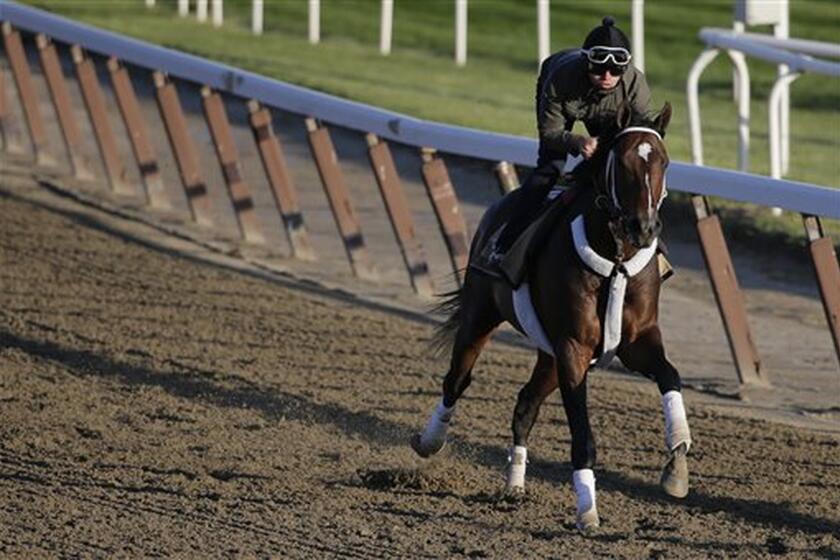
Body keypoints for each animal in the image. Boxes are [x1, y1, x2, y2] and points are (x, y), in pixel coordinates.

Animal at [410, 103, 692, 532]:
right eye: (623, 161)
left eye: (664, 161)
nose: (643, 228)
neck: (614, 259)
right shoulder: (573, 346)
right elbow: (582, 434)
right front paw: (587, 510)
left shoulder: (637, 341)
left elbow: (670, 377)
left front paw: (677, 463)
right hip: (481, 315)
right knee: (456, 381)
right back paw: (430, 441)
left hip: (548, 355)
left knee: (525, 405)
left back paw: (514, 486)